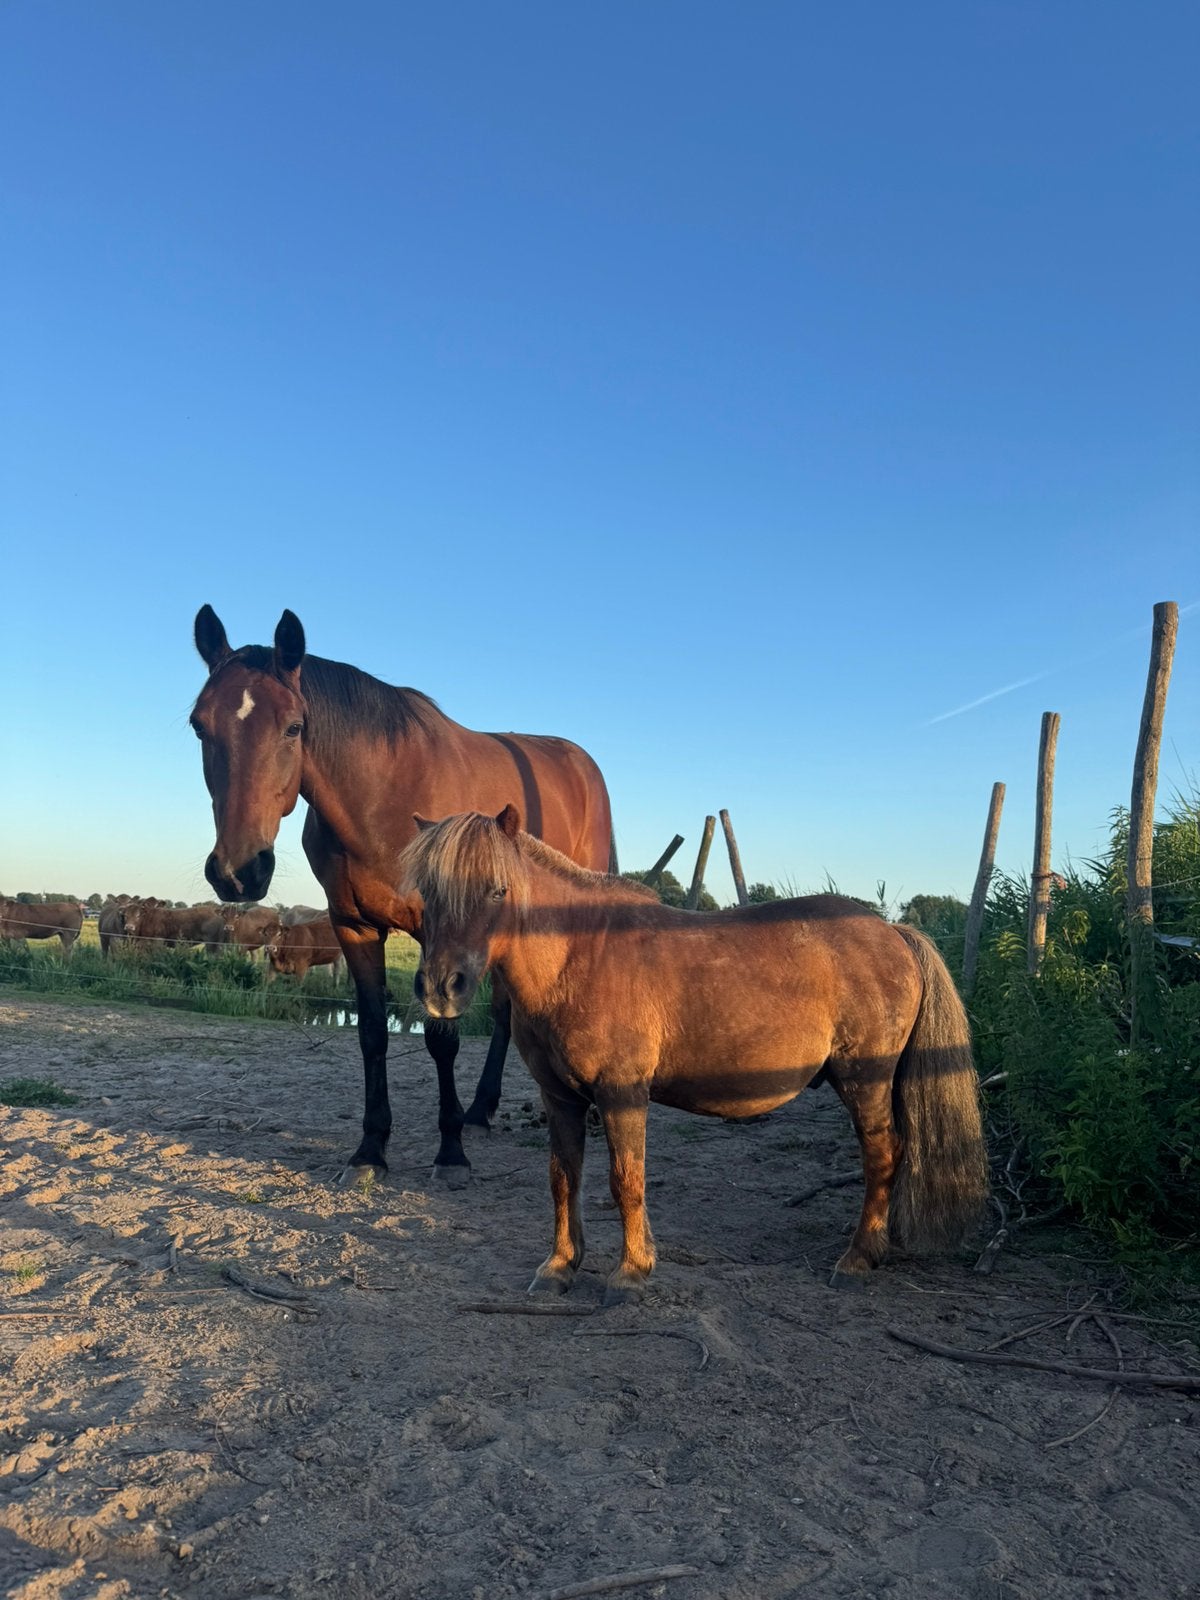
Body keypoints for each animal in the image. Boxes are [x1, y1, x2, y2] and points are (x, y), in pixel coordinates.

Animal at [190, 605, 614, 1184]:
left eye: (294, 727)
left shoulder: (437, 928)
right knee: (506, 1011)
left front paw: (451, 1152)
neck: (381, 797)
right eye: (199, 725)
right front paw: (371, 1149)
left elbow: (442, 1036)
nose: (238, 871)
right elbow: (372, 1031)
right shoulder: (353, 925)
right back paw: (481, 1109)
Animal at [399, 807, 989, 1299]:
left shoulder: (621, 1095)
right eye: (428, 891)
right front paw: (561, 1266)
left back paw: (858, 1258)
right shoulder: (560, 1098)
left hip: (864, 1080)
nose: (441, 988)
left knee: (883, 1154)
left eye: (497, 889)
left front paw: (631, 1271)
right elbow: (563, 1179)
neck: (577, 956)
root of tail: (894, 932)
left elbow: (625, 1180)